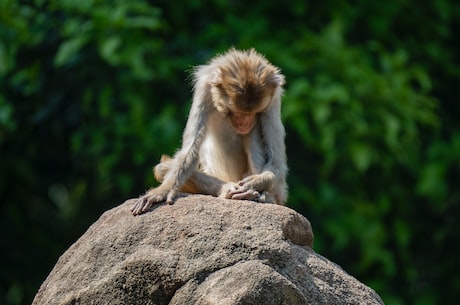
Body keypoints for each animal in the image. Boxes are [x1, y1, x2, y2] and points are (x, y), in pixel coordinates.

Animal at [130, 47, 288, 215]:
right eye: (238, 113)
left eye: (253, 113)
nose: (246, 123)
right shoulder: (204, 88)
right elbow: (189, 151)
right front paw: (162, 191)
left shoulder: (273, 100)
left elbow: (276, 161)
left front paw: (257, 182)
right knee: (162, 169)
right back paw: (227, 188)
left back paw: (260, 195)